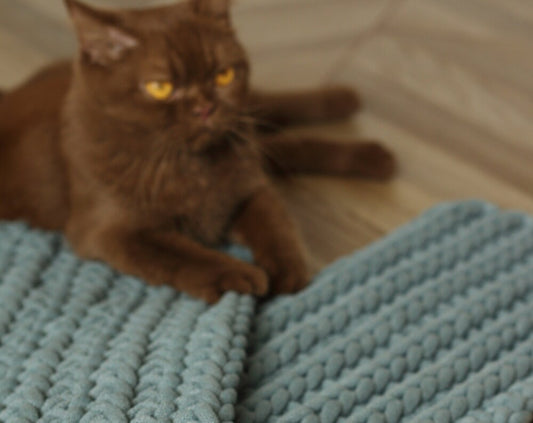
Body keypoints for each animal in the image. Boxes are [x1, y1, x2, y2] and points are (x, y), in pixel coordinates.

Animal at [0, 0, 392, 304]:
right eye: (160, 88)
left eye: (223, 75)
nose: (205, 108)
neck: (188, 163)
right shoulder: (106, 231)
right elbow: (179, 254)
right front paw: (239, 274)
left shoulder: (247, 184)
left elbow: (275, 221)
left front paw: (287, 269)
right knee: (280, 142)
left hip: (244, 119)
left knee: (276, 118)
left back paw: (354, 117)